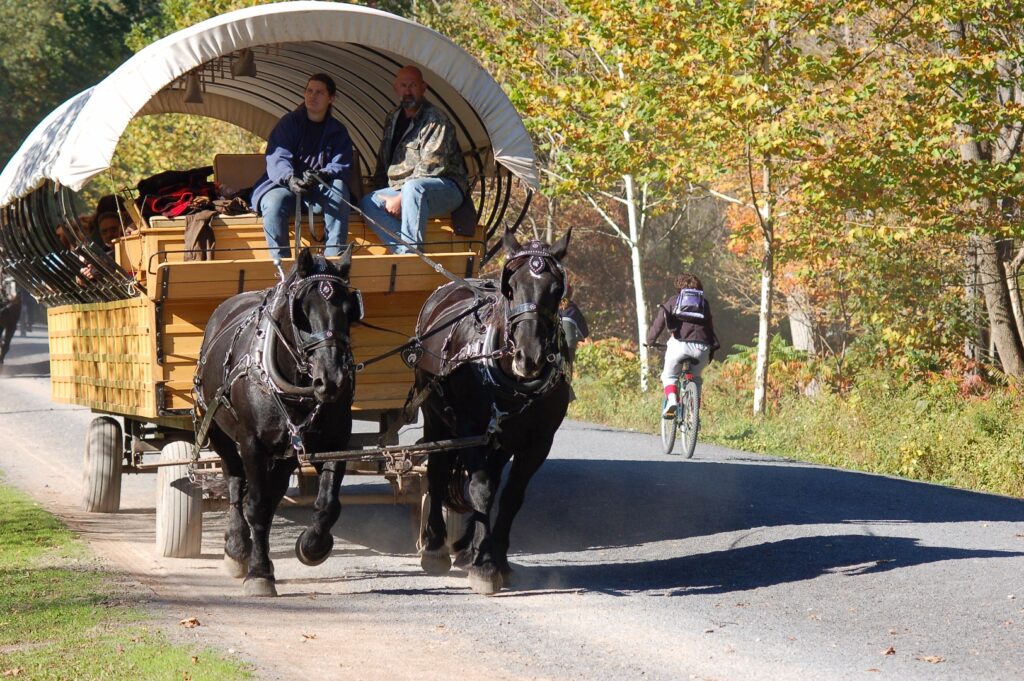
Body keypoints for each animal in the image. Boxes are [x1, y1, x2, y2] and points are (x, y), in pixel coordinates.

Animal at [194, 246, 364, 593]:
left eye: (349, 310)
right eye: (303, 312)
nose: (332, 380)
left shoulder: (336, 442)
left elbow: (328, 503)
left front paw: (313, 546)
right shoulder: (252, 445)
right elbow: (256, 506)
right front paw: (259, 574)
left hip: (284, 454)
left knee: (271, 495)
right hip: (217, 430)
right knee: (236, 483)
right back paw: (237, 548)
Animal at [415, 228, 577, 589]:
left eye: (557, 290)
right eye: (510, 287)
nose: (529, 357)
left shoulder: (538, 441)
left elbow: (511, 495)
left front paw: (496, 557)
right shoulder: (470, 429)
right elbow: (481, 489)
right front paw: (485, 567)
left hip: (501, 439)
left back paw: (467, 547)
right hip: (435, 417)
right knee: (437, 471)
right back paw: (436, 547)